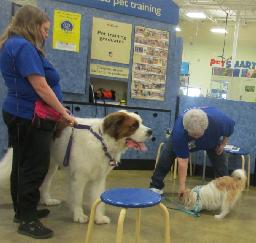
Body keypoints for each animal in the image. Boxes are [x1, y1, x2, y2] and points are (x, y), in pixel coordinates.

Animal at [0, 110, 152, 224]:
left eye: (141, 122)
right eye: (134, 126)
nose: (150, 131)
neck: (102, 141)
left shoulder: (98, 179)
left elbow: (97, 198)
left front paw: (98, 218)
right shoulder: (79, 178)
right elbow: (78, 198)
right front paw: (79, 216)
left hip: (51, 165)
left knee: (45, 183)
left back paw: (48, 201)